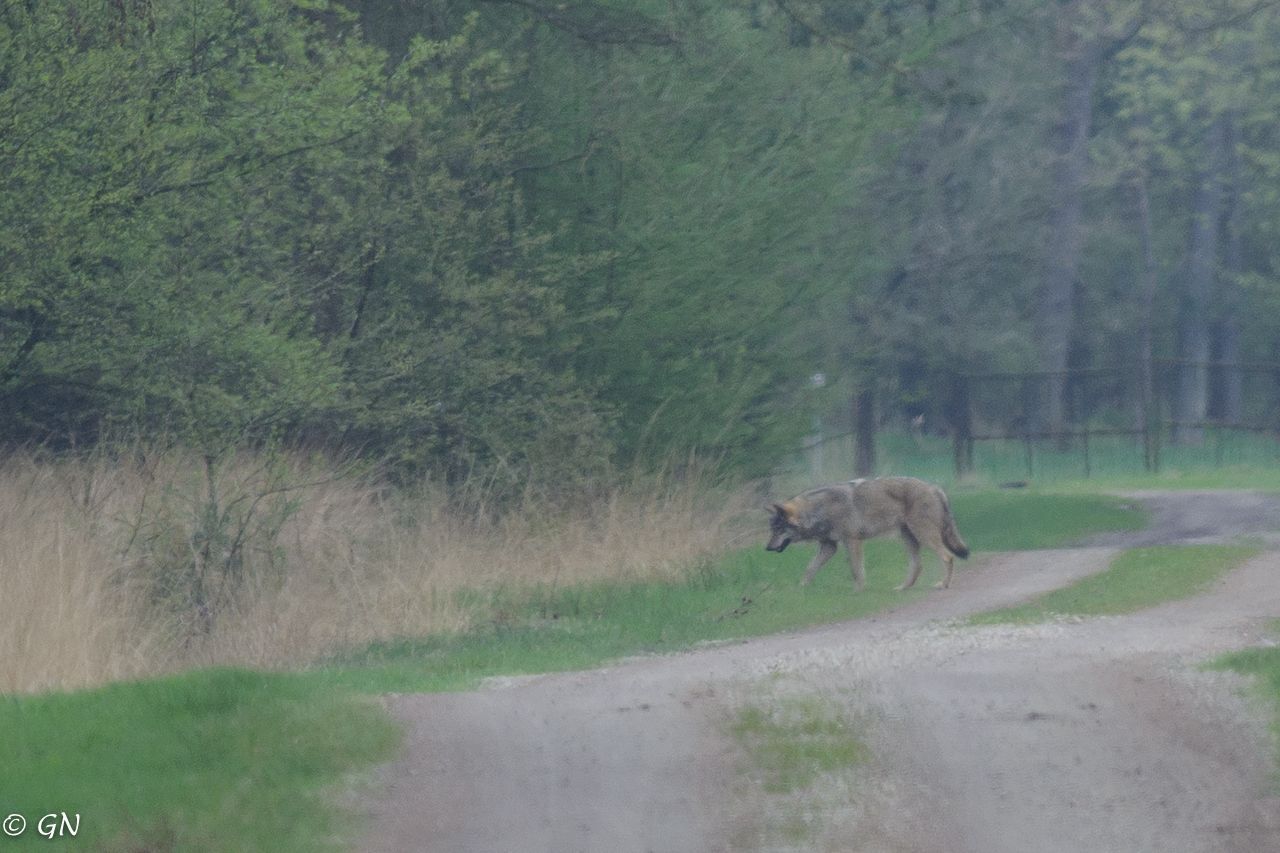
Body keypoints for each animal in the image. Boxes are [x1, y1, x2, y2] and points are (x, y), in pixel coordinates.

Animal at [768, 479, 967, 591]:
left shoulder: (852, 541)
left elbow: (856, 570)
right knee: (917, 566)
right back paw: (902, 588)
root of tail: (935, 488)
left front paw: (858, 590)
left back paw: (943, 584)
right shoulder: (829, 546)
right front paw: (800, 588)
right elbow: (810, 569)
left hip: (924, 535)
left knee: (948, 557)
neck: (818, 510)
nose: (767, 548)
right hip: (908, 538)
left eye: (778, 529)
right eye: (772, 530)